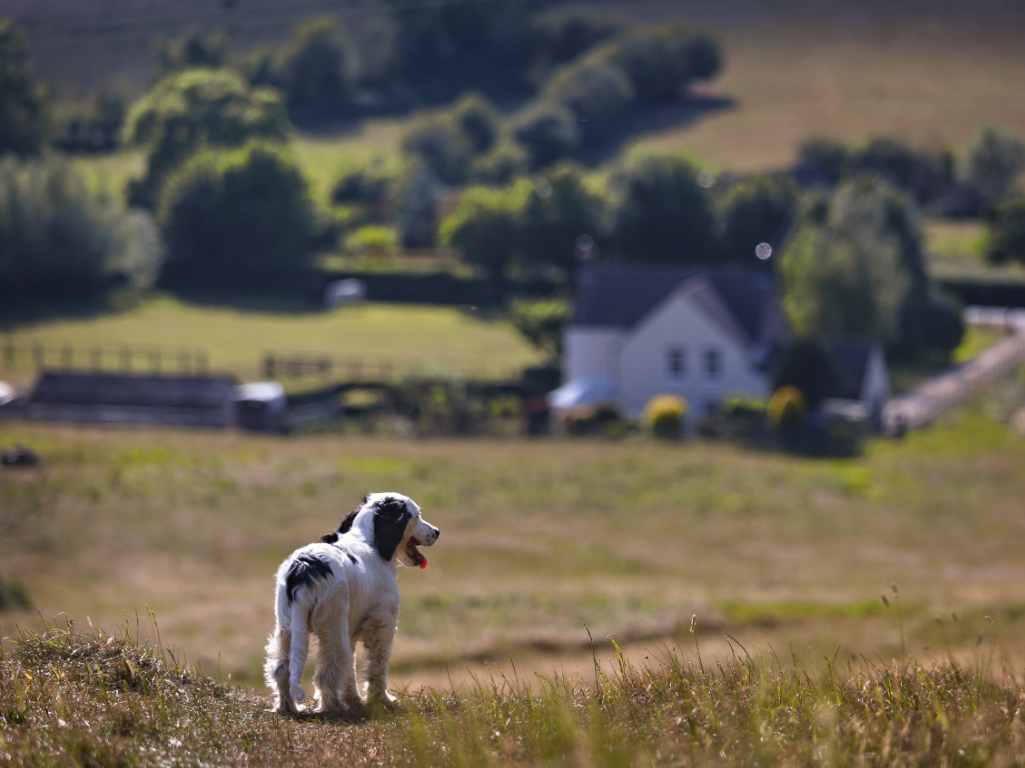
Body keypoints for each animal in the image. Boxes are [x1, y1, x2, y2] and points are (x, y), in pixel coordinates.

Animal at [262, 492, 438, 713]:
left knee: (282, 669)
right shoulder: (382, 624)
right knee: (327, 672)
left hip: (287, 626)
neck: (369, 540)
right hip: (332, 626)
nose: (437, 532)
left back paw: (288, 707)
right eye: (417, 515)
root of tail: (304, 569)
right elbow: (377, 666)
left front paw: (355, 700)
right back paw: (333, 707)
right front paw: (383, 700)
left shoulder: (351, 630)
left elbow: (350, 671)